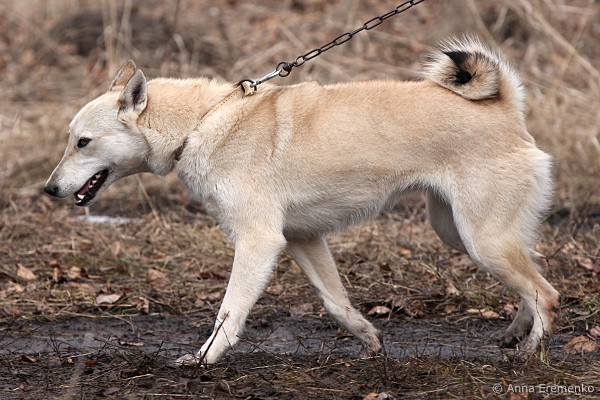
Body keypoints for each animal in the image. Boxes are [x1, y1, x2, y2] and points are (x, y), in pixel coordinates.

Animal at [45, 37, 560, 366]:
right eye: (70, 139)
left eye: (83, 142)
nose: (49, 190)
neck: (203, 123)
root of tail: (505, 108)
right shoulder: (302, 239)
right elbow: (336, 304)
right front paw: (369, 341)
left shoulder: (258, 242)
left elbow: (228, 313)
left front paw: (205, 359)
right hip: (462, 235)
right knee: (531, 279)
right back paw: (515, 334)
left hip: (481, 240)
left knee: (545, 292)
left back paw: (531, 351)